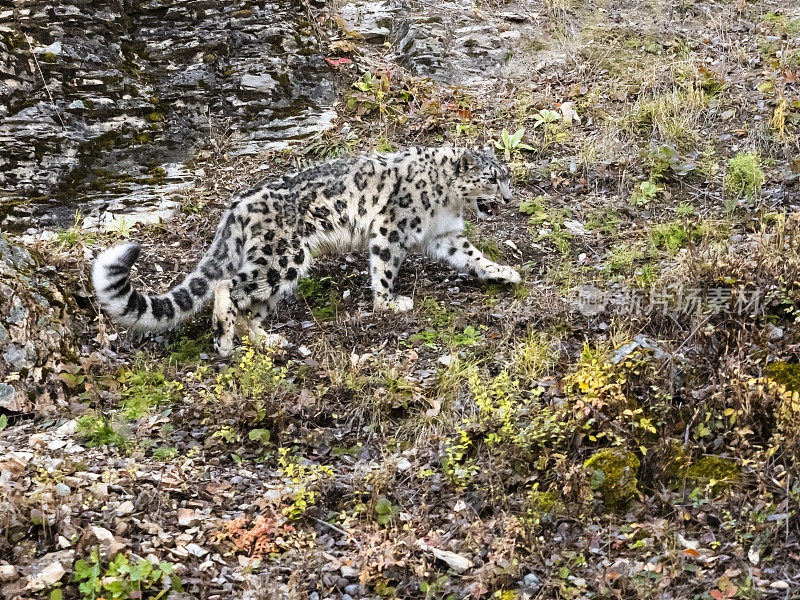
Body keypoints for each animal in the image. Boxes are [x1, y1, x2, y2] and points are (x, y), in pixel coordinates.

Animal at [94, 146, 520, 356]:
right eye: (491, 178)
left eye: (505, 177)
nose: (508, 198)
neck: (447, 202)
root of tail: (237, 206)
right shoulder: (390, 227)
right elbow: (384, 268)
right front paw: (389, 303)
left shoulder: (445, 235)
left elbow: (472, 256)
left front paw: (505, 272)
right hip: (283, 258)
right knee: (228, 286)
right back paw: (224, 340)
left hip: (278, 271)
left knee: (251, 307)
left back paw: (268, 339)